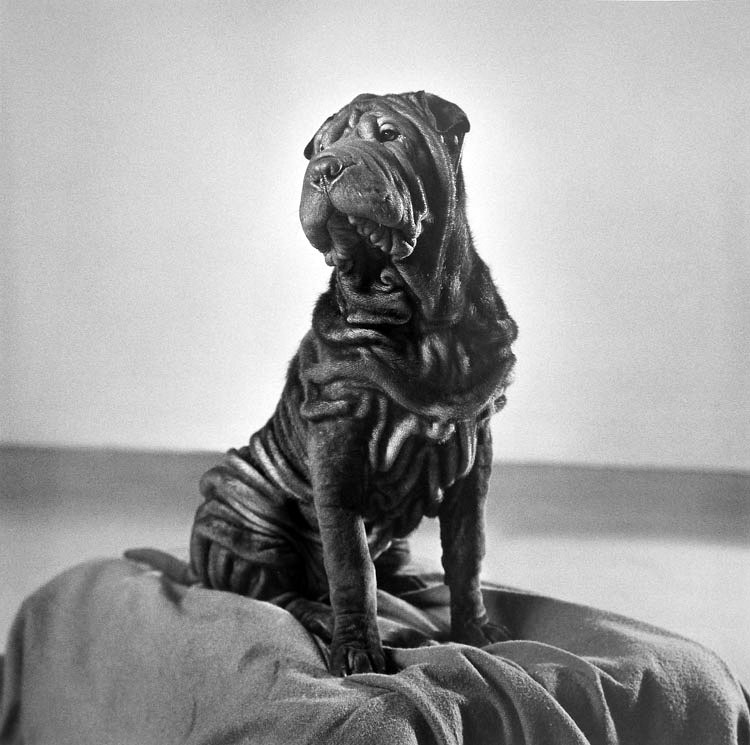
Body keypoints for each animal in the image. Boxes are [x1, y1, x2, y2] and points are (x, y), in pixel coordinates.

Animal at [128, 91, 516, 676]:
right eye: (321, 149)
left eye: (390, 135)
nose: (325, 169)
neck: (423, 320)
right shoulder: (338, 441)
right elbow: (352, 568)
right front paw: (358, 650)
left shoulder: (475, 458)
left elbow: (468, 554)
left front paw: (475, 630)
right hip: (243, 503)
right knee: (277, 595)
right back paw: (322, 615)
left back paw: (411, 585)